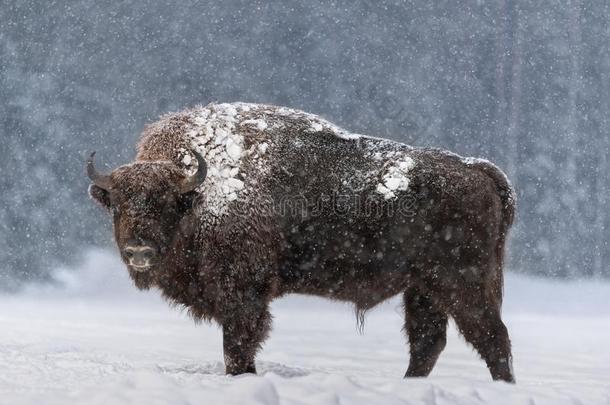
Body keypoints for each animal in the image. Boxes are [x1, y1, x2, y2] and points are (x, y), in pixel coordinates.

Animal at [86, 102, 512, 380]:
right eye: (118, 204)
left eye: (167, 203)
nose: (139, 251)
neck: (201, 193)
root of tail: (477, 169)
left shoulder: (244, 297)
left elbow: (237, 348)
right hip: (423, 289)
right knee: (428, 343)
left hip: (461, 283)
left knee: (493, 339)